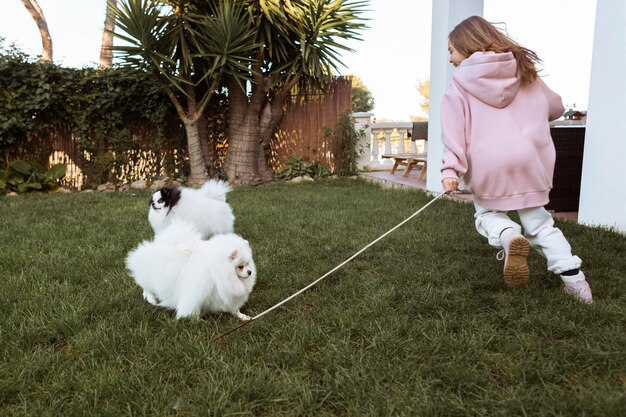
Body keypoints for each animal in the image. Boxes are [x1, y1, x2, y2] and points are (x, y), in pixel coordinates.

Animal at [125, 219, 255, 320]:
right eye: (240, 267)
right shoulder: (197, 292)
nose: (250, 272)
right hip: (149, 276)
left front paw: (242, 316)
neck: (219, 272)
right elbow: (194, 308)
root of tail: (161, 242)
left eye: (248, 264)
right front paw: (197, 320)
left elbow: (233, 309)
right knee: (146, 287)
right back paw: (151, 299)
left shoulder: (225, 294)